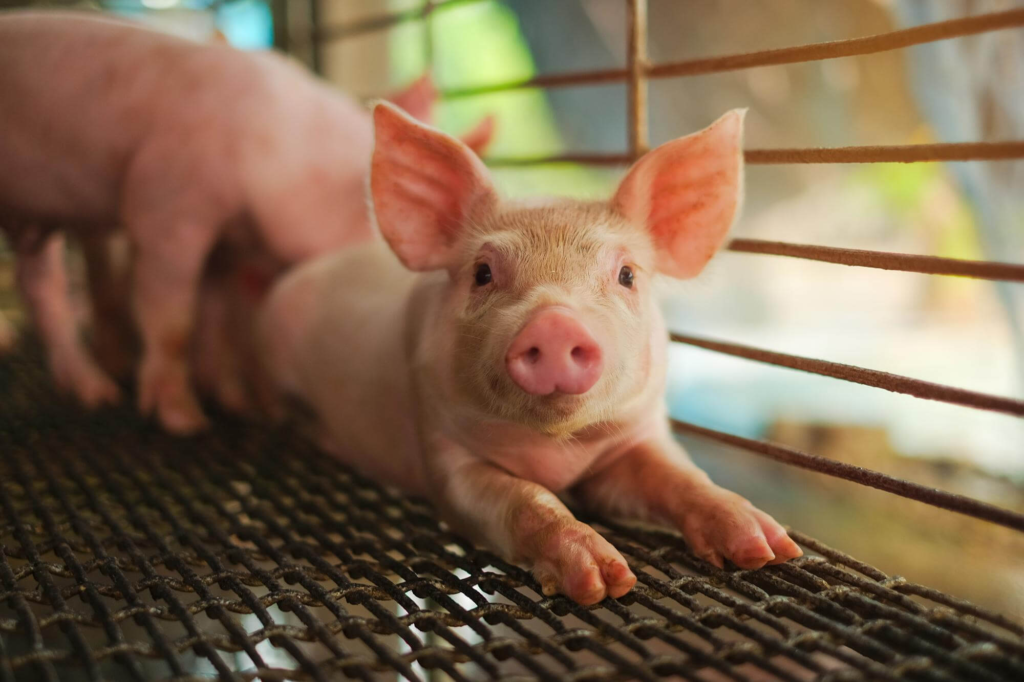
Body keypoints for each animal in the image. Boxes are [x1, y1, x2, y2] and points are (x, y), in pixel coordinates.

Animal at [0, 11, 491, 432]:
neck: (271, 146)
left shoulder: (227, 244)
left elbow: (214, 315)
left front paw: (238, 405)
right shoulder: (166, 203)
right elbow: (174, 318)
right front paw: (186, 422)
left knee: (37, 282)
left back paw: (91, 391)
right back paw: (100, 391)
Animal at [257, 102, 803, 605]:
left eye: (627, 274)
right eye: (482, 273)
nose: (555, 322)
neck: (555, 451)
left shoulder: (638, 434)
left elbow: (678, 476)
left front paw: (768, 549)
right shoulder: (443, 451)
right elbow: (523, 500)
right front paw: (603, 582)